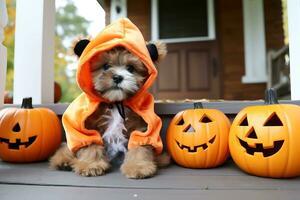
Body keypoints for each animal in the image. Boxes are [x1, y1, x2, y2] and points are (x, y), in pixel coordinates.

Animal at [50, 41, 170, 179]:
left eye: (130, 68)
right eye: (106, 66)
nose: (117, 77)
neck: (116, 102)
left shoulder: (141, 127)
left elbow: (140, 146)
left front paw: (138, 167)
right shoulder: (87, 127)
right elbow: (91, 145)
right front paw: (91, 165)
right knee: (67, 148)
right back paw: (63, 161)